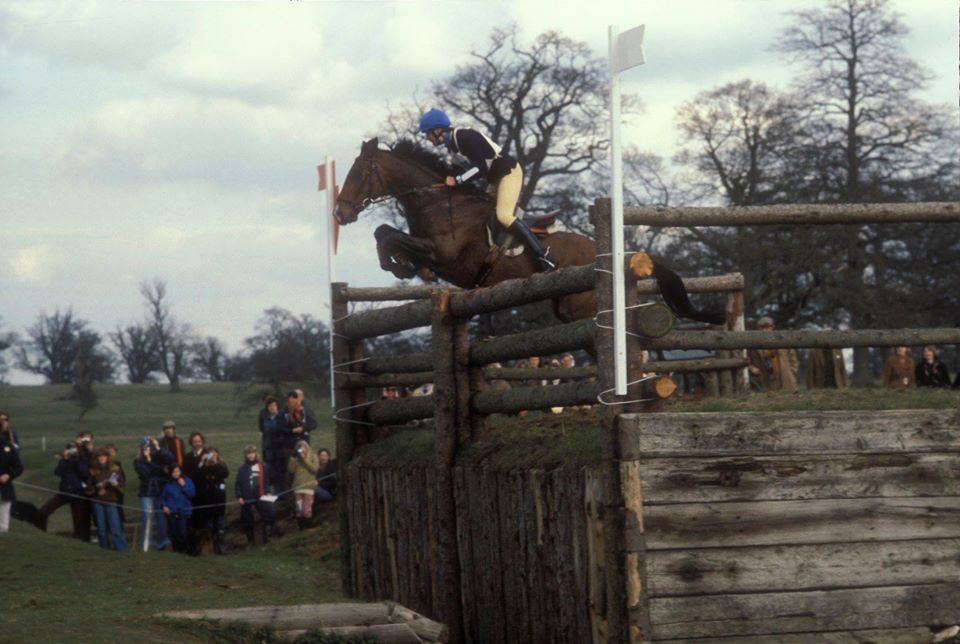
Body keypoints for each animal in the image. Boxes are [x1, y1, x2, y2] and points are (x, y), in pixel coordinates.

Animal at [334, 136, 724, 328]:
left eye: (359, 172)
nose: (340, 212)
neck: (434, 199)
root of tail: (610, 253)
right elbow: (384, 232)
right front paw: (400, 265)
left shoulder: (442, 253)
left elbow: (390, 235)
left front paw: (401, 265)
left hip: (578, 307)